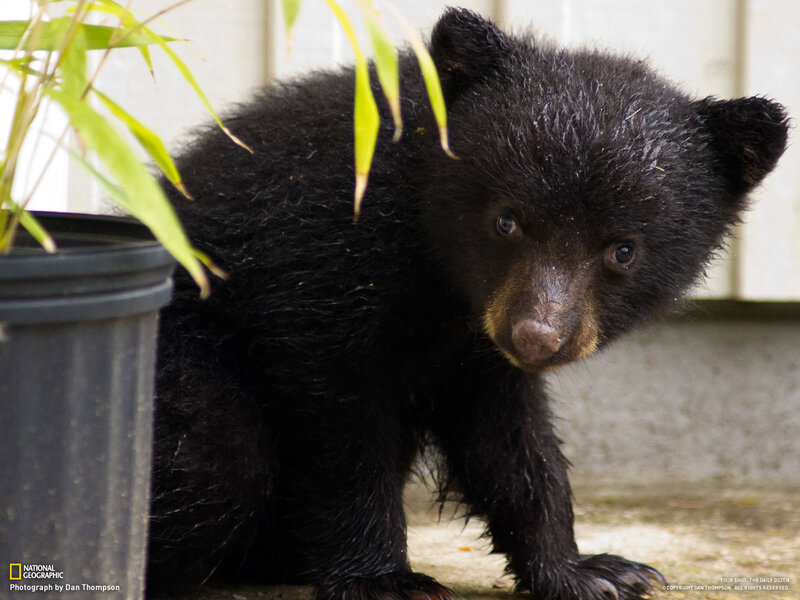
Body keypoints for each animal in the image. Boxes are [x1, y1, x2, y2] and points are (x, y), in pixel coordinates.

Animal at [147, 8, 788, 600]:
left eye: (621, 249)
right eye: (507, 220)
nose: (537, 336)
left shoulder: (476, 349)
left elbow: (507, 441)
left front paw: (588, 571)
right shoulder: (319, 273)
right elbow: (341, 423)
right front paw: (384, 579)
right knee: (218, 456)